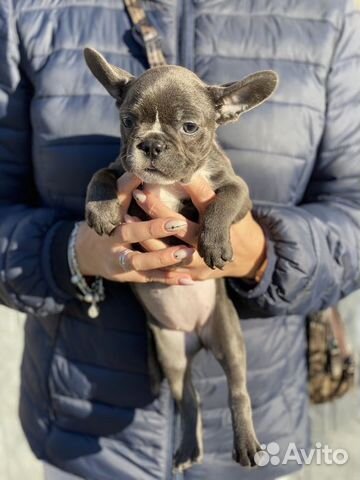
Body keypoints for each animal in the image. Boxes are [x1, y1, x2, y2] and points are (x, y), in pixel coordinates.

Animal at [83, 47, 278, 470]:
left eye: (189, 127)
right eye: (127, 121)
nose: (152, 144)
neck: (170, 185)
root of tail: (197, 338)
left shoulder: (238, 190)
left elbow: (224, 201)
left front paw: (214, 242)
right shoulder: (120, 168)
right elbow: (100, 175)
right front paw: (101, 210)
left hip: (227, 335)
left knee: (237, 390)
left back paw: (246, 443)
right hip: (171, 354)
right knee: (189, 400)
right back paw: (189, 447)